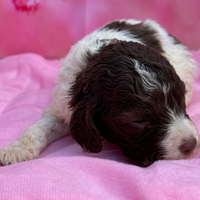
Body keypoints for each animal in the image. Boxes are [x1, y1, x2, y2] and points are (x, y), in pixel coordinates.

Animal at [0, 19, 200, 166]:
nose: (191, 145)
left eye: (180, 101)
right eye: (139, 120)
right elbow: (39, 127)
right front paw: (15, 149)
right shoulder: (62, 104)